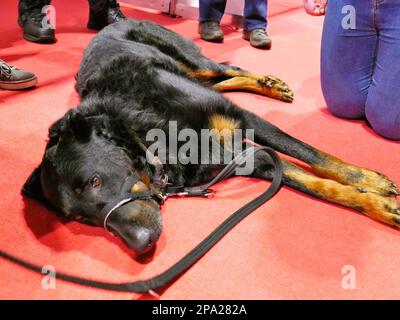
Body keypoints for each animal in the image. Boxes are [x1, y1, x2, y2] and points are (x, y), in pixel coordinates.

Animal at [22, 19, 400, 255]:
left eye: (95, 180)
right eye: (80, 220)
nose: (139, 243)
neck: (147, 133)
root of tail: (111, 23)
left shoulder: (247, 122)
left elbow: (316, 157)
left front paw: (371, 183)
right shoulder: (251, 159)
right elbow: (317, 185)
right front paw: (376, 204)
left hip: (192, 61)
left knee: (226, 68)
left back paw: (270, 84)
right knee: (223, 79)